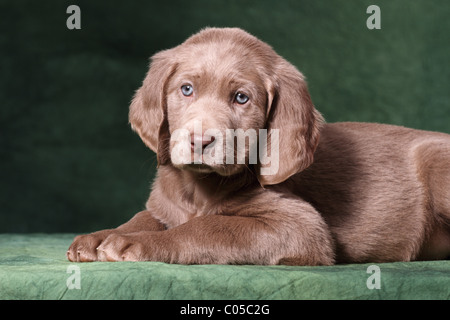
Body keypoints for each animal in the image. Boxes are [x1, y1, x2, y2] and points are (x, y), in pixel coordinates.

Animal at [67, 27, 450, 264]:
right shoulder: (164, 206)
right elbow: (141, 216)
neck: (199, 190)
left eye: (241, 98)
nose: (199, 140)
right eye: (186, 89)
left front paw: (138, 243)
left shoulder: (302, 227)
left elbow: (209, 226)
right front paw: (99, 237)